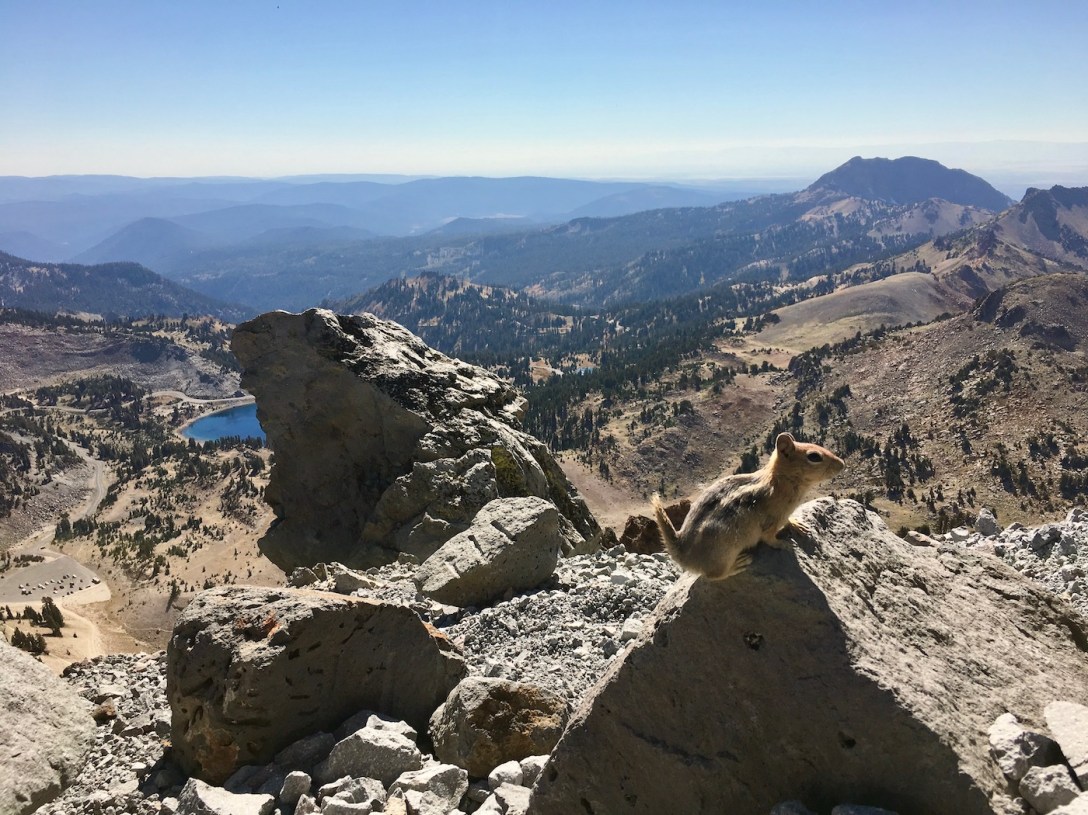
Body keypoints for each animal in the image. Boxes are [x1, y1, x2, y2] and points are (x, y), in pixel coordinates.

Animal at [653, 432, 845, 580]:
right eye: (814, 456)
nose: (842, 463)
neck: (779, 481)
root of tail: (683, 552)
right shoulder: (771, 522)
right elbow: (770, 539)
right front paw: (785, 545)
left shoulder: (784, 515)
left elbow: (789, 521)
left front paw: (797, 524)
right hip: (724, 554)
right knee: (713, 576)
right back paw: (737, 565)